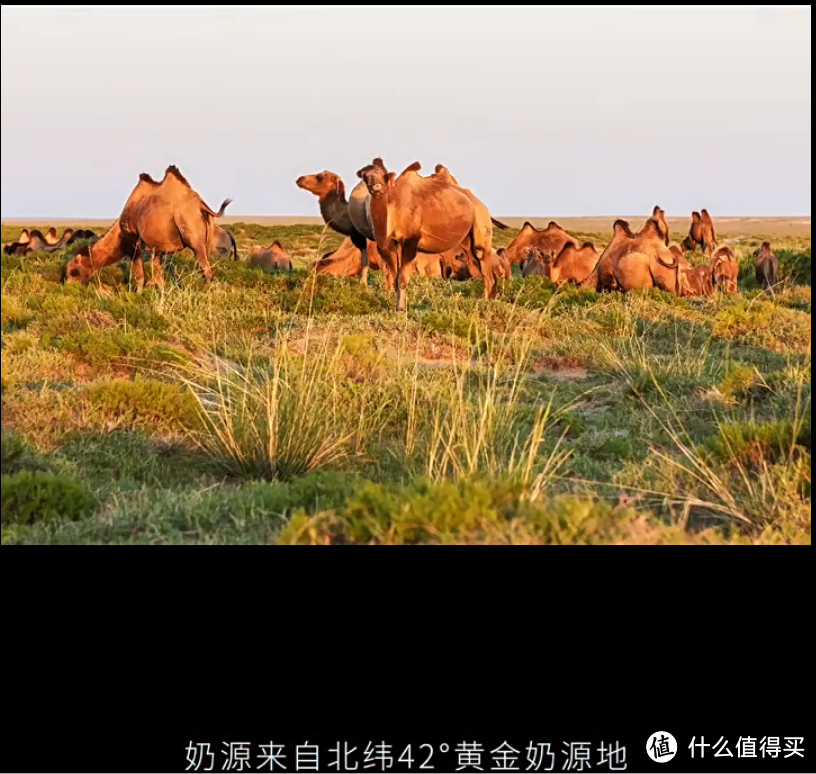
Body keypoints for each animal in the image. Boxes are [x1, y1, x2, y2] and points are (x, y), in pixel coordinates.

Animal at [61, 165, 230, 286]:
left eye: (74, 271)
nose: (67, 285)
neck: (119, 234)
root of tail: (201, 204)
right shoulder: (157, 248)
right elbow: (158, 277)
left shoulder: (134, 242)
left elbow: (140, 275)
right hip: (208, 238)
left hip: (192, 234)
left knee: (207, 271)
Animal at [356, 158, 498, 312]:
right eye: (366, 177)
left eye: (384, 175)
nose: (375, 186)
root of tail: (481, 205)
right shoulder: (389, 244)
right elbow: (394, 277)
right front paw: (396, 307)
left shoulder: (410, 241)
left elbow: (402, 278)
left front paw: (401, 309)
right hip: (467, 240)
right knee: (478, 267)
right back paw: (486, 300)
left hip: (481, 226)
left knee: (485, 264)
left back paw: (487, 303)